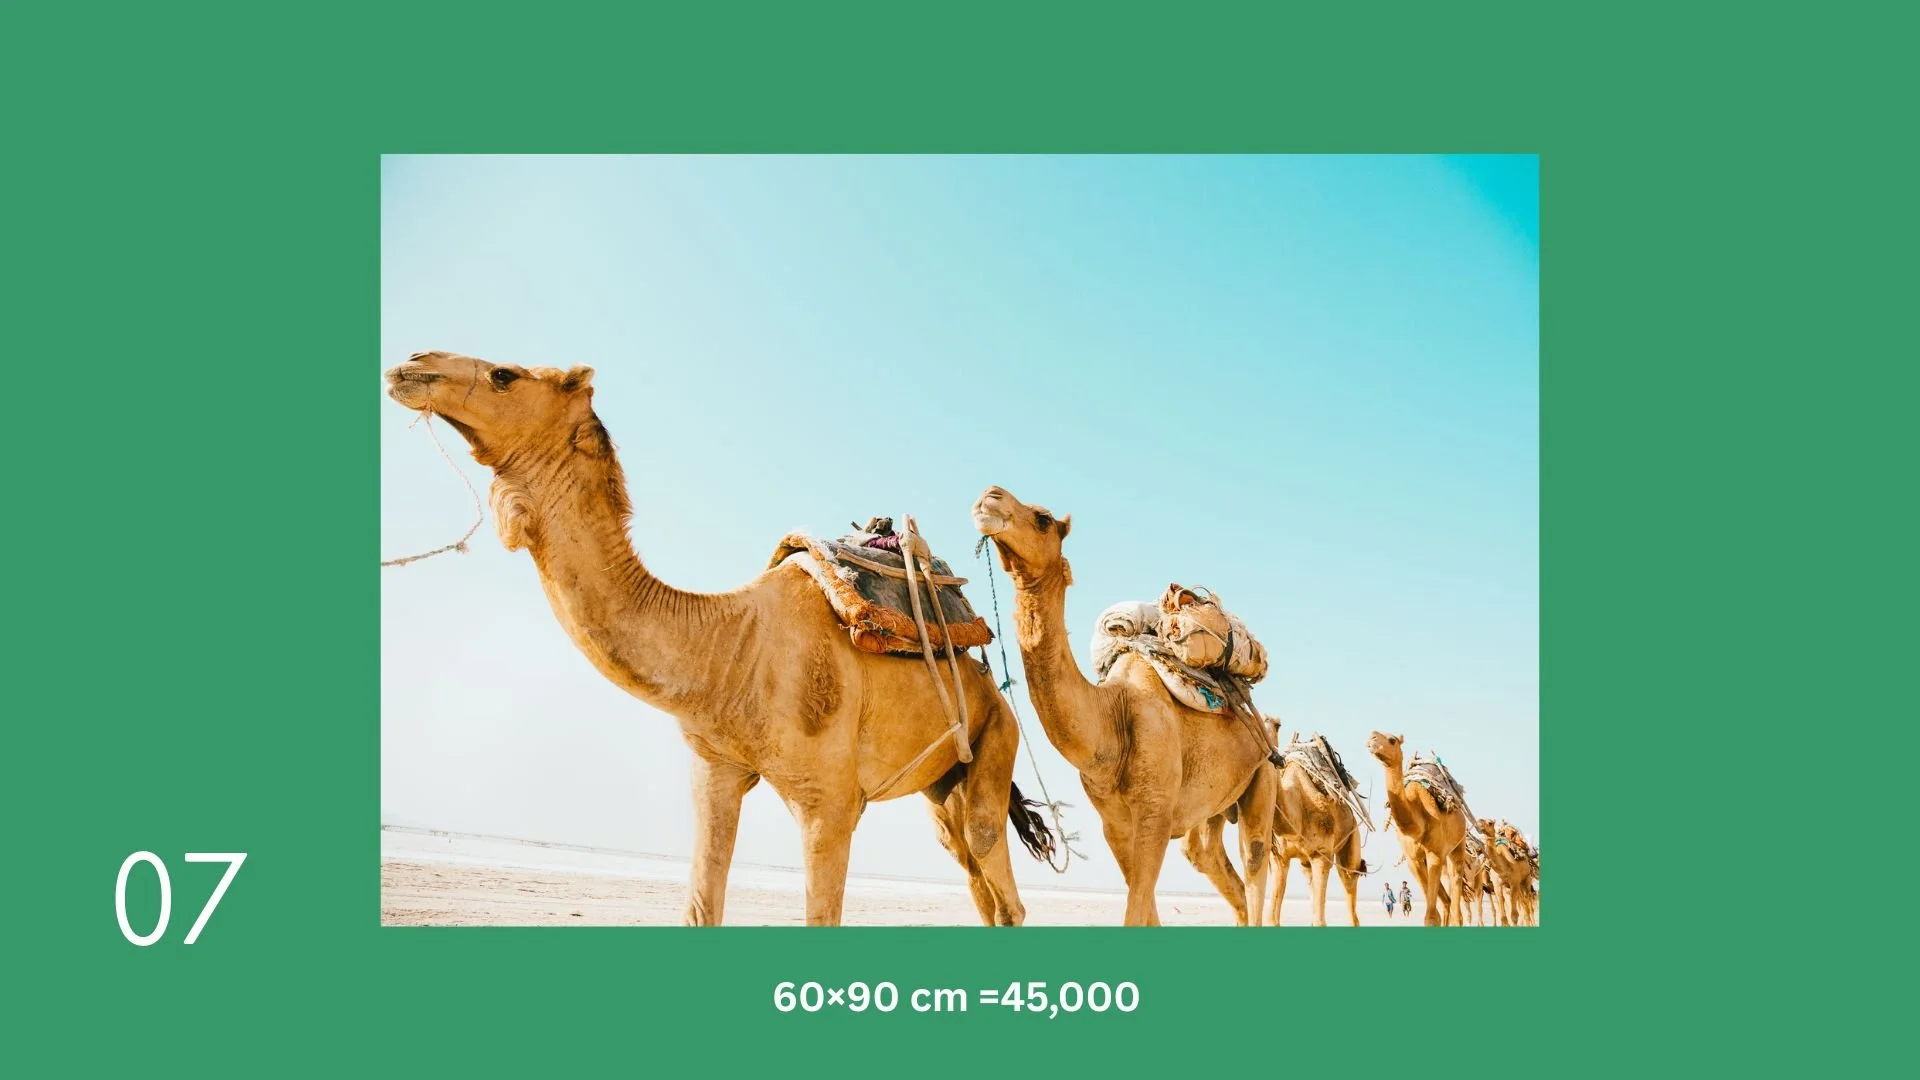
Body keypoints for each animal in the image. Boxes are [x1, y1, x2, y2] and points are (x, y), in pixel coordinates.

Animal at [384, 352, 1054, 926]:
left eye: (504, 375)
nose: (411, 364)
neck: (730, 644)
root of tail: (989, 685)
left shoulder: (829, 803)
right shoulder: (715, 769)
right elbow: (702, 905)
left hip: (998, 735)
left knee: (996, 867)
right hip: (944, 784)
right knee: (971, 869)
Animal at [972, 486, 1277, 926]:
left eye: (1043, 519)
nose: (989, 496)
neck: (1110, 718)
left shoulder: (1155, 814)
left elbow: (1137, 908)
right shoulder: (1114, 825)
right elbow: (1145, 908)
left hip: (1263, 776)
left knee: (1254, 863)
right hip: (1211, 811)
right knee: (1209, 859)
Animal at [1267, 733, 1368, 927]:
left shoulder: (1322, 854)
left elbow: (1321, 921)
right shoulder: (1279, 858)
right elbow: (1272, 919)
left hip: (1351, 840)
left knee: (1350, 878)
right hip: (1306, 862)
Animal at [1366, 731, 1468, 926]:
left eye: (1392, 740)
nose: (1371, 738)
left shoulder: (1435, 853)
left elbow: (1431, 916)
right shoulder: (1413, 860)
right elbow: (1433, 913)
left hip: (1458, 846)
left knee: (1456, 899)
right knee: (1446, 901)